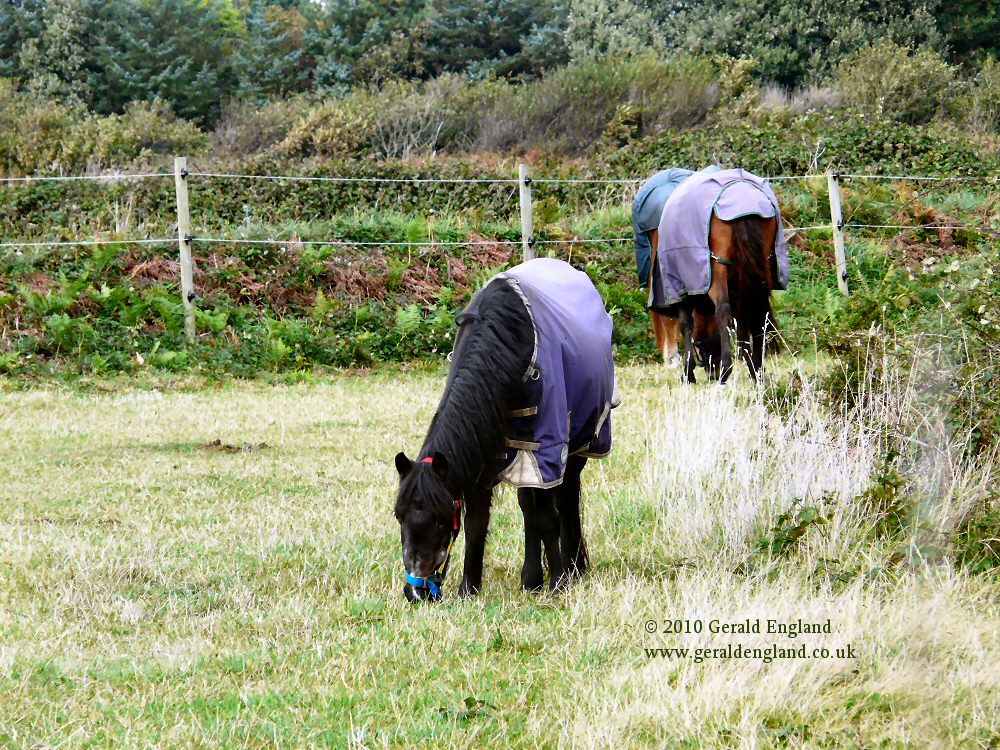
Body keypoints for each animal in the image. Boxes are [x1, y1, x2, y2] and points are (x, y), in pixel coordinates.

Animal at [393, 258, 618, 601]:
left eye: (440, 519)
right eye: (399, 515)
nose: (416, 591)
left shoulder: (546, 450)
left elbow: (547, 518)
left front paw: (558, 582)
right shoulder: (480, 455)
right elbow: (477, 524)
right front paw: (469, 589)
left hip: (577, 446)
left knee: (566, 501)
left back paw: (573, 567)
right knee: (529, 508)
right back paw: (532, 578)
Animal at [653, 168, 787, 384]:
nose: (712, 373)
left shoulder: (683, 290)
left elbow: (686, 325)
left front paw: (688, 372)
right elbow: (742, 324)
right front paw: (749, 361)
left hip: (718, 270)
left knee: (722, 310)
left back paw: (727, 367)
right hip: (761, 268)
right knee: (759, 312)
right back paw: (757, 371)